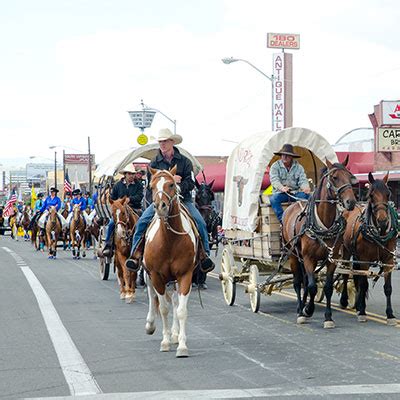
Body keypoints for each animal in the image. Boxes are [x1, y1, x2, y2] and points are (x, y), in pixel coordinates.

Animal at [145, 164, 199, 358]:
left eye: (171, 184)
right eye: (151, 186)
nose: (160, 206)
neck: (169, 240)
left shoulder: (185, 275)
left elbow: (181, 310)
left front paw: (181, 345)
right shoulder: (156, 276)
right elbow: (163, 308)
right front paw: (165, 341)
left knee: (175, 302)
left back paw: (175, 334)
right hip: (148, 276)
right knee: (152, 296)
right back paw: (150, 324)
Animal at [282, 156, 356, 328]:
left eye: (350, 176)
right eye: (334, 177)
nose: (351, 202)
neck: (323, 224)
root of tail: (291, 206)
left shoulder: (331, 259)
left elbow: (326, 287)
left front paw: (328, 317)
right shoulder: (309, 258)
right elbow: (312, 286)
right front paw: (308, 310)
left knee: (304, 281)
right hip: (293, 255)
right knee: (298, 282)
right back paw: (300, 310)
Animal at [340, 172, 398, 324]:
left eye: (388, 194)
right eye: (371, 195)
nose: (383, 221)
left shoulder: (389, 260)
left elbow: (388, 288)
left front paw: (390, 314)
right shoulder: (365, 260)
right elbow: (364, 283)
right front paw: (362, 312)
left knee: (355, 275)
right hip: (345, 251)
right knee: (345, 273)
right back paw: (345, 301)